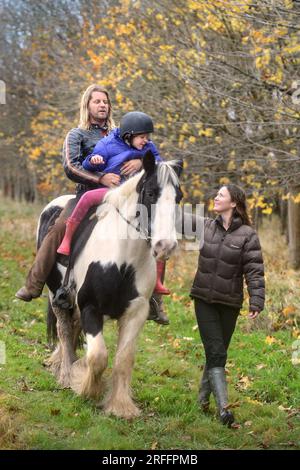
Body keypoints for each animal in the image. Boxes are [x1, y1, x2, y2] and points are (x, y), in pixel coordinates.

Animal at [39, 152, 183, 420]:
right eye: (150, 193)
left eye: (178, 197)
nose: (165, 246)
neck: (122, 260)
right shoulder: (90, 308)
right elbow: (98, 357)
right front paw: (84, 386)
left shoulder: (136, 313)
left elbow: (123, 359)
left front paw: (120, 406)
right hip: (56, 296)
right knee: (65, 331)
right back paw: (65, 373)